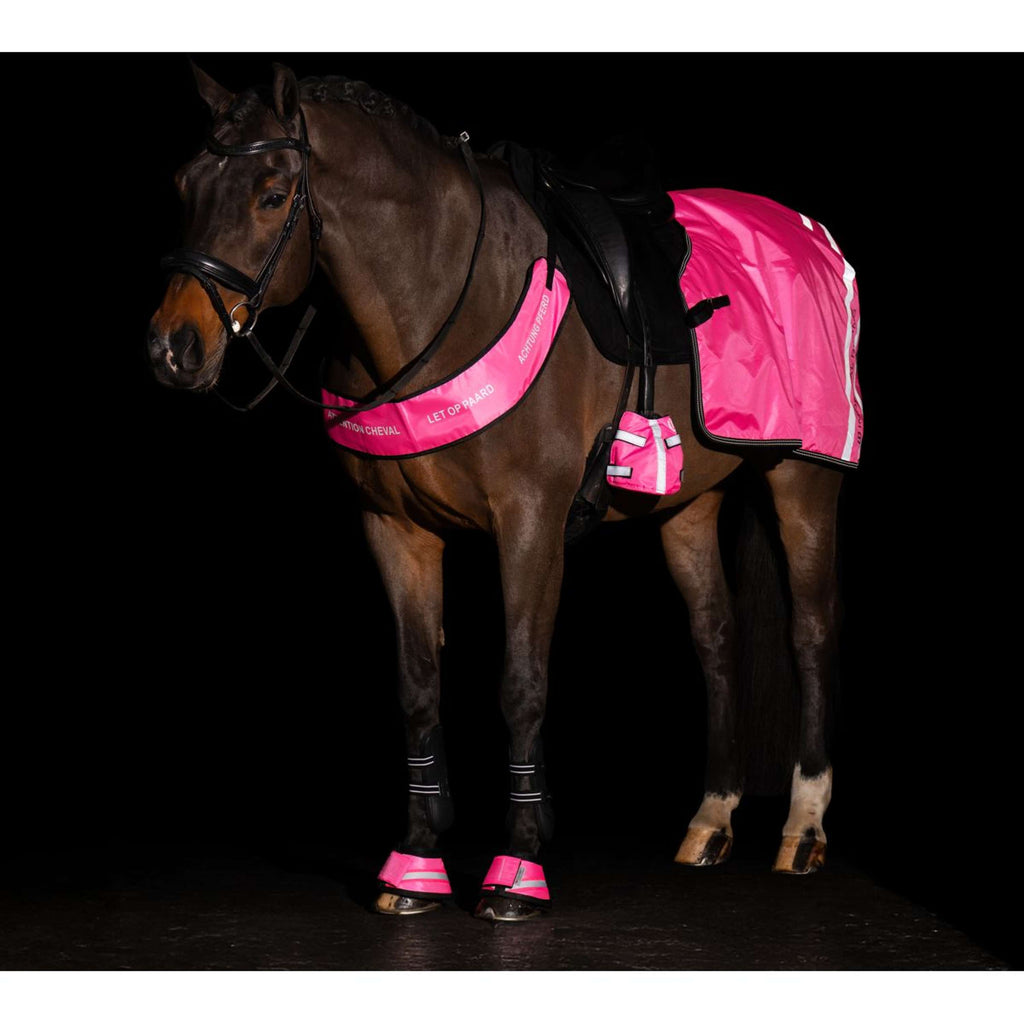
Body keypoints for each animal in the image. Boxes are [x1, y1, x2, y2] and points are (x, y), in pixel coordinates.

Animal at [147, 62, 859, 922]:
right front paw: (415, 863)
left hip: (803, 478)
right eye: (185, 184)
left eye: (273, 193)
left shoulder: (531, 524)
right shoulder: (396, 530)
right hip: (688, 504)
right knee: (716, 638)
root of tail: (807, 232)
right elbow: (418, 687)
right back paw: (711, 822)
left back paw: (804, 828)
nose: (173, 346)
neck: (445, 295)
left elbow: (521, 683)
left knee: (811, 633)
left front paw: (517, 867)